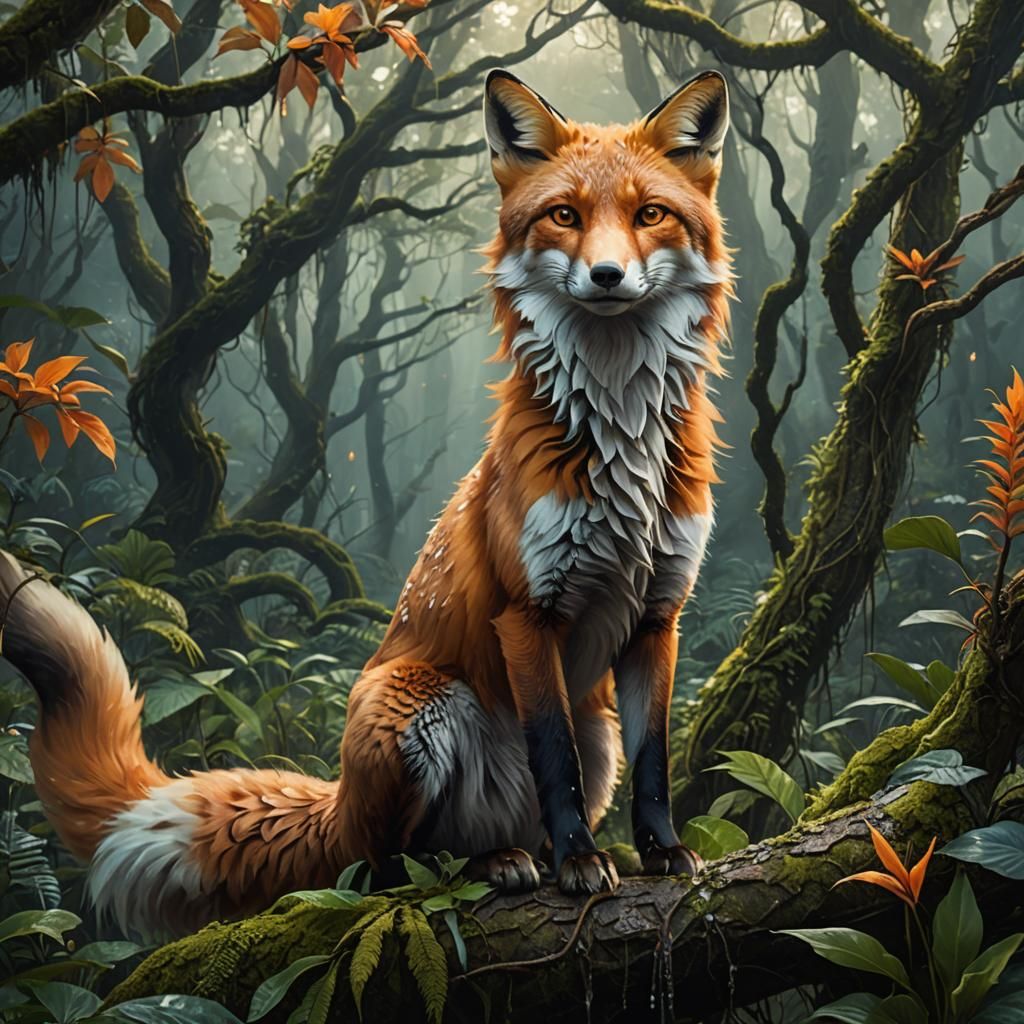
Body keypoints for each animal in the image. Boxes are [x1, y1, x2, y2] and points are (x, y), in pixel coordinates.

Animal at [0, 67, 732, 939]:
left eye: (650, 215)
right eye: (565, 216)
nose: (608, 277)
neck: (622, 443)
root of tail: (337, 802)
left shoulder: (659, 614)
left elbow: (657, 760)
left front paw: (660, 851)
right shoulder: (528, 613)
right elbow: (550, 758)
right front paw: (579, 863)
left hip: (600, 734)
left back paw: (526, 852)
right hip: (413, 703)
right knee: (393, 868)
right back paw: (499, 863)